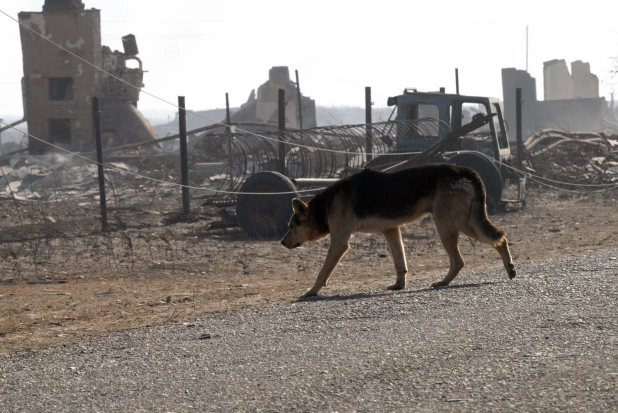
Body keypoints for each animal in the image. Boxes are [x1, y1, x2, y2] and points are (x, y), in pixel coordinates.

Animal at [280, 163, 516, 296]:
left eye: (292, 226)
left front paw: (311, 292)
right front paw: (399, 286)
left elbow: (322, 273)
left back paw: (443, 282)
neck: (326, 205)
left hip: (448, 226)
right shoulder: (392, 231)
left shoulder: (339, 243)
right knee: (500, 239)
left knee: (459, 260)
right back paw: (510, 268)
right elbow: (400, 264)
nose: (282, 242)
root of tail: (466, 171)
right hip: (466, 224)